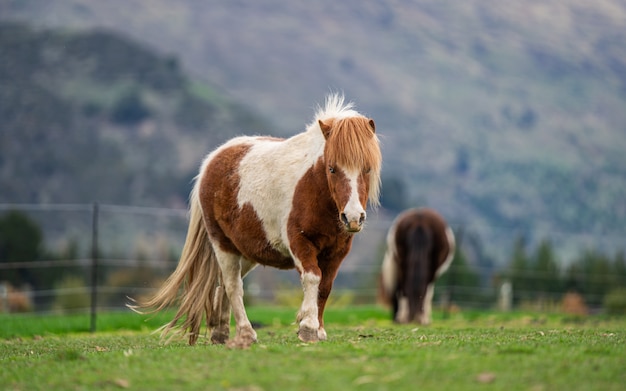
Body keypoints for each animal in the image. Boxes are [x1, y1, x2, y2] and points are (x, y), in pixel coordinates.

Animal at [130, 95, 380, 350]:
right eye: (332, 168)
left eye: (367, 169)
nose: (352, 217)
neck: (314, 187)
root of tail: (211, 161)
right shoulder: (300, 243)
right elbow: (313, 278)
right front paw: (308, 328)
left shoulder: (337, 252)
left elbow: (325, 287)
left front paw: (318, 330)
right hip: (223, 246)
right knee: (233, 286)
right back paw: (246, 333)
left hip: (247, 253)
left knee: (223, 286)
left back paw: (220, 332)